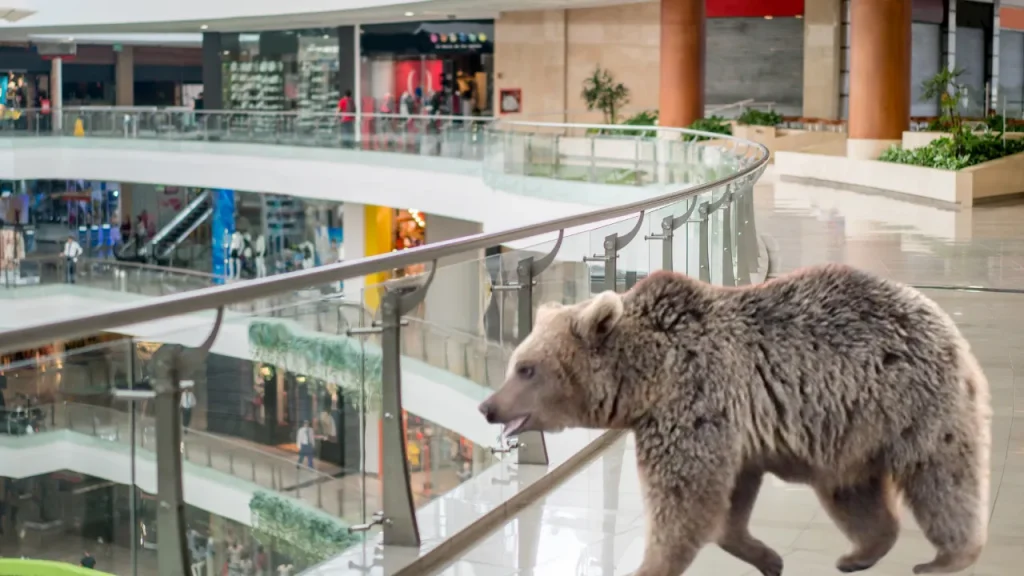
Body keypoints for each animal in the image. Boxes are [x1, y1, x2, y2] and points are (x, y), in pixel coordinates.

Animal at [478, 264, 991, 576]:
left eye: (525, 368)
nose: (488, 407)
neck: (647, 376)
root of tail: (942, 319)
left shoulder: (696, 402)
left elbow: (685, 499)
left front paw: (650, 564)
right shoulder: (734, 428)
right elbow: (727, 501)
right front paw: (767, 557)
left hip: (909, 402)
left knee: (941, 475)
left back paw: (947, 557)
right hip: (847, 428)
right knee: (854, 492)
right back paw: (859, 553)